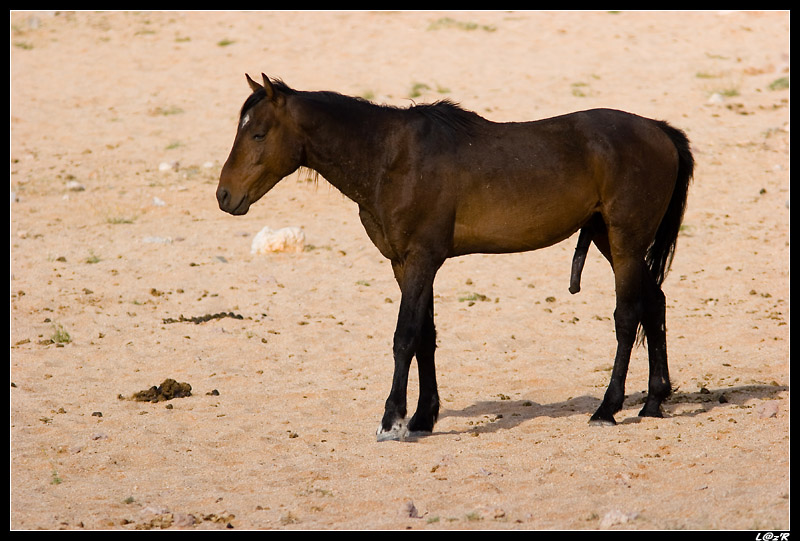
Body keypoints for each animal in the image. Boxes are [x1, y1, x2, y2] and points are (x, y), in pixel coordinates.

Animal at [217, 74, 694, 441]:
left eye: (258, 133)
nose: (224, 195)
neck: (390, 158)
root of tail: (659, 130)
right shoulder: (405, 263)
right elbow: (425, 336)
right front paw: (423, 416)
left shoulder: (421, 260)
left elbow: (405, 337)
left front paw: (392, 420)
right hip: (612, 243)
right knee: (654, 304)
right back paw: (653, 401)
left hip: (625, 242)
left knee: (627, 316)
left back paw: (607, 408)